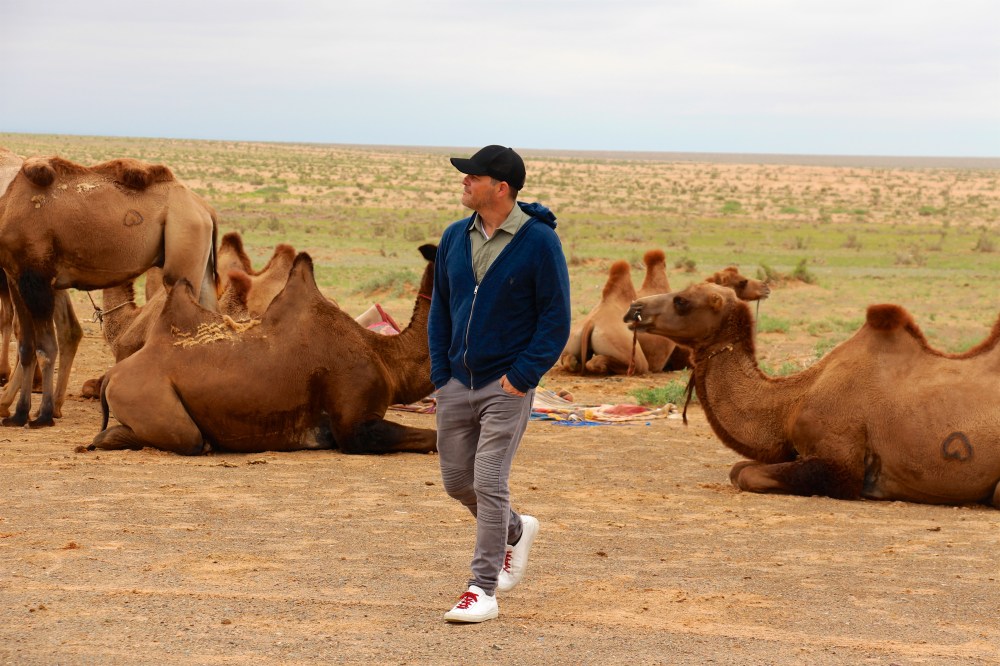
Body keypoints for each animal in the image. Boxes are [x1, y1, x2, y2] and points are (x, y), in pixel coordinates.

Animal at [0, 148, 218, 427]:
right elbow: (26, 346)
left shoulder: (36, 276)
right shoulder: (15, 275)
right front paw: (18, 415)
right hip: (201, 269)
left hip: (182, 258)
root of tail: (205, 208)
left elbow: (46, 347)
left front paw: (44, 415)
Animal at [90, 245, 439, 455]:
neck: (386, 357)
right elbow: (431, 437)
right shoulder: (355, 426)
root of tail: (111, 376)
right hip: (147, 397)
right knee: (188, 438)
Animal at [625, 282, 1000, 507]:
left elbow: (743, 472)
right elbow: (739, 468)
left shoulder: (840, 463)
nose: (634, 309)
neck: (792, 401)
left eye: (682, 301)